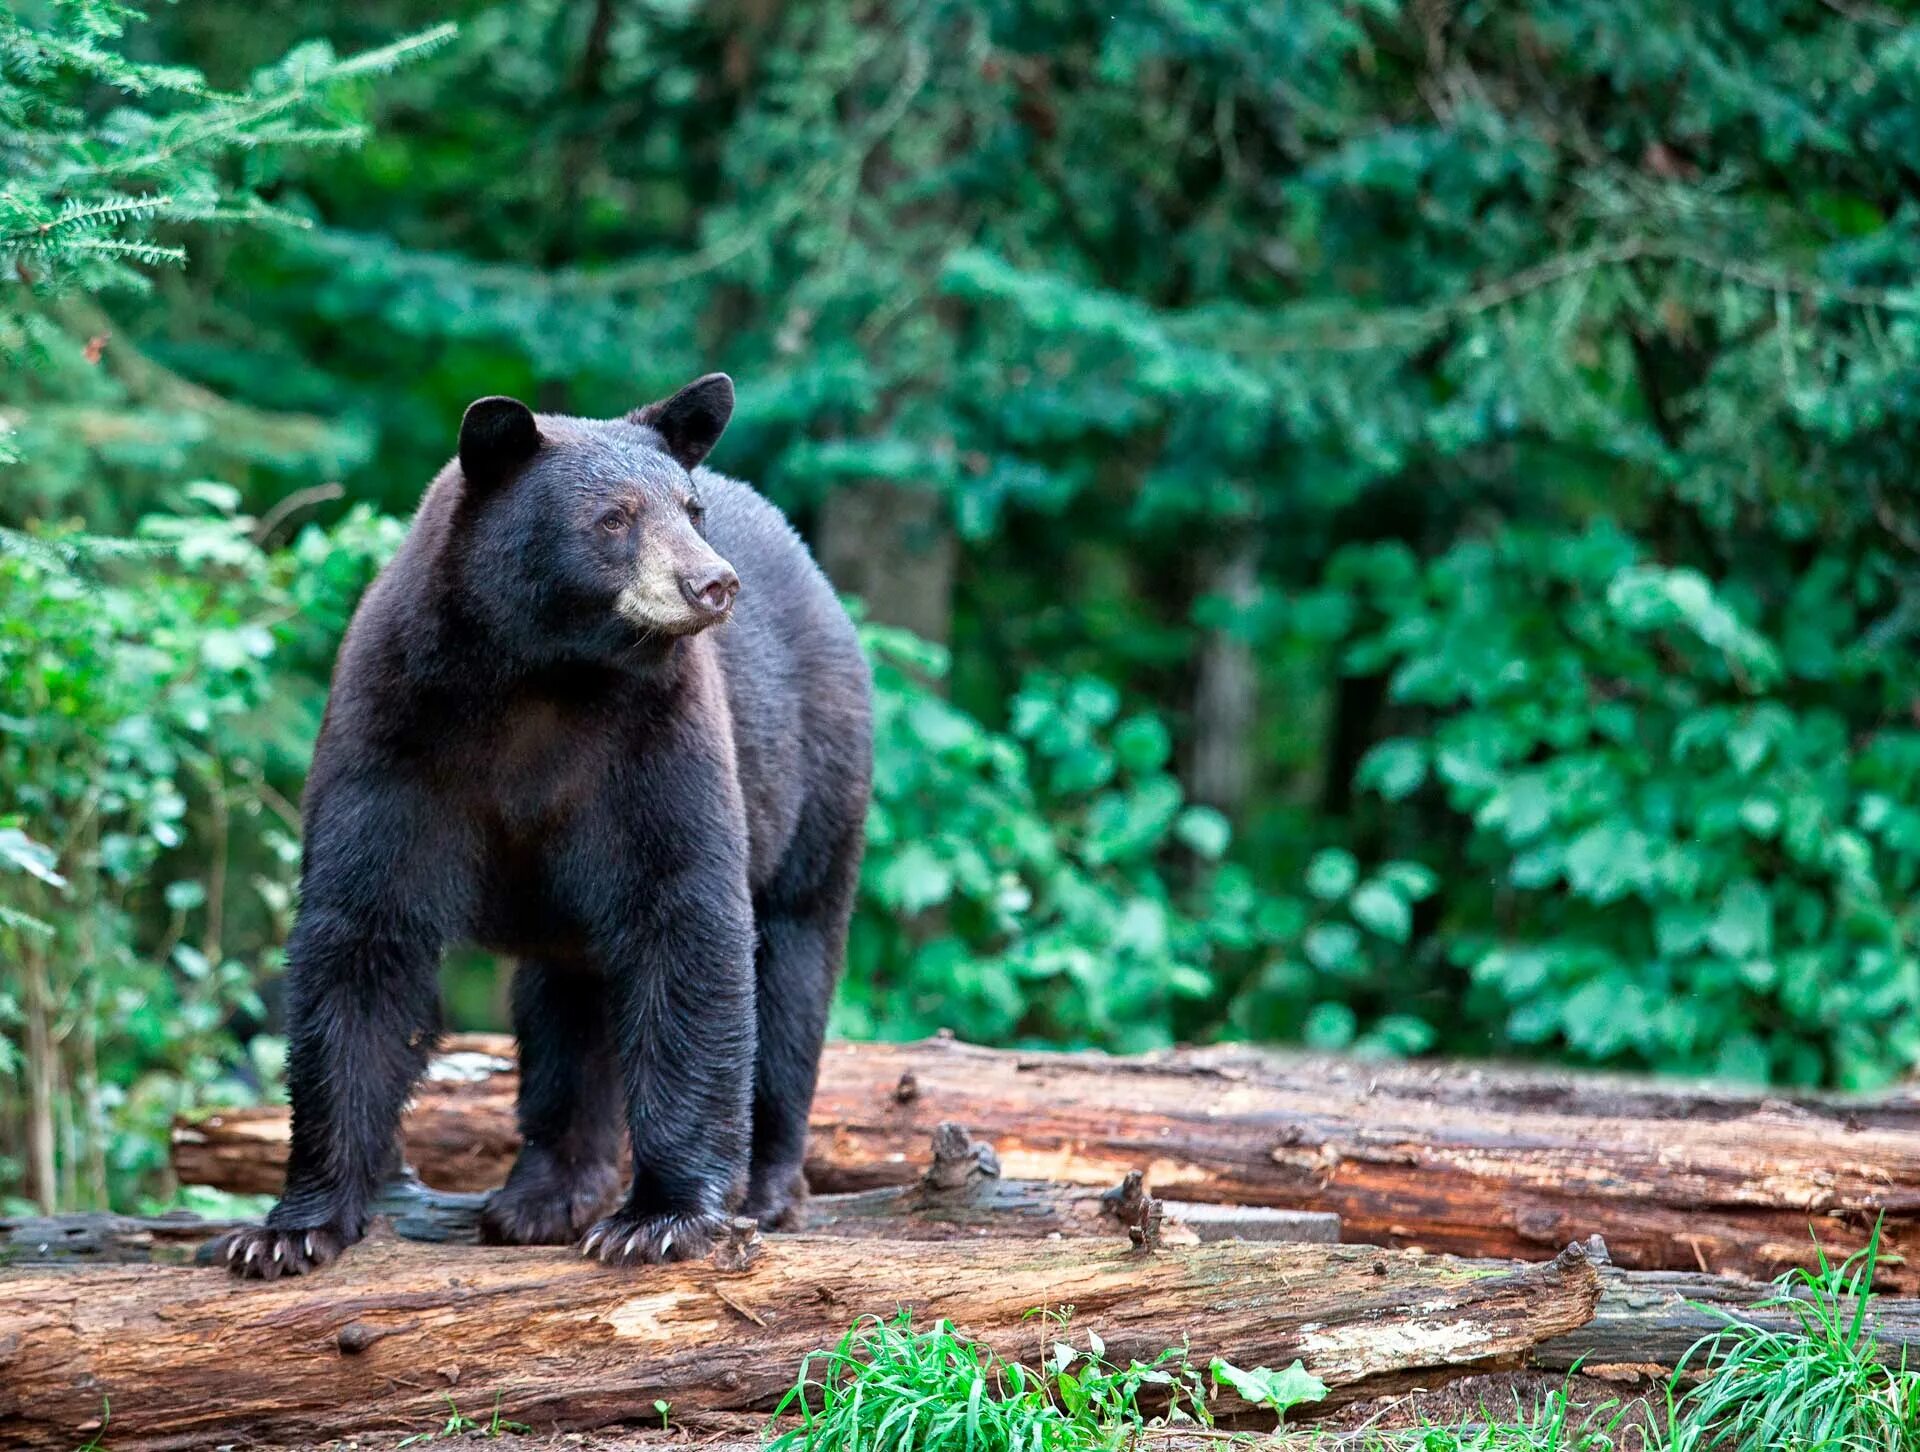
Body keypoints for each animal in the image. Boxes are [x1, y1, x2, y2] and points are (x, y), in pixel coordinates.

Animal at [217, 376, 871, 1282]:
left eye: (690, 509)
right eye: (614, 518)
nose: (713, 583)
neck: (542, 675)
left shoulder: (656, 743)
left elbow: (687, 921)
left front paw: (660, 1218)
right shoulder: (394, 734)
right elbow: (362, 937)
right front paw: (288, 1229)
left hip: (817, 775)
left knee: (793, 964)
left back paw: (768, 1187)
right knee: (568, 1004)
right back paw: (545, 1194)